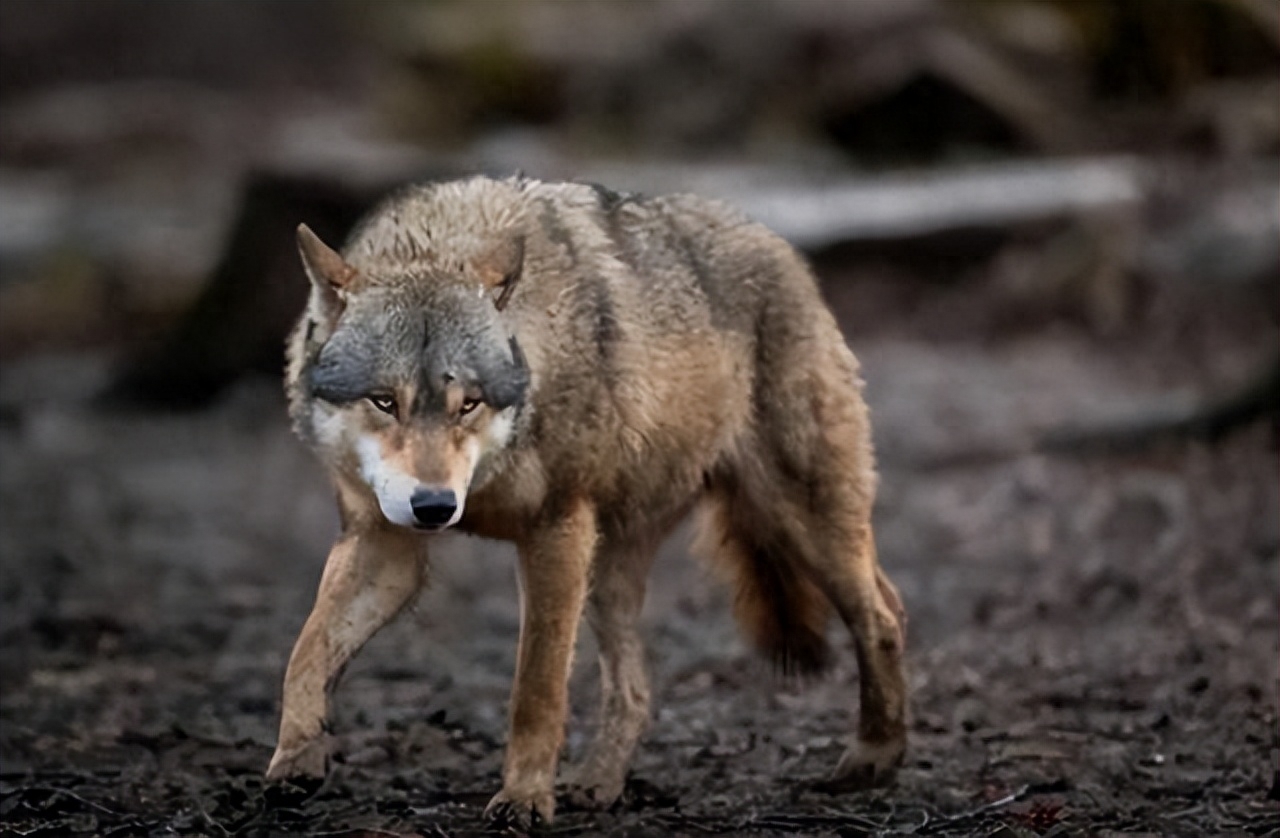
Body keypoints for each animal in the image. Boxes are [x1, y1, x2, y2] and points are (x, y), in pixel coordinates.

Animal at [264, 175, 911, 823]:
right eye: (384, 401)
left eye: (468, 404)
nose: (436, 507)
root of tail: (781, 247)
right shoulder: (385, 544)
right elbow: (305, 654)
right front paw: (295, 758)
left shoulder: (556, 531)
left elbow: (537, 689)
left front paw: (524, 797)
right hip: (610, 572)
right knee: (637, 688)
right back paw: (599, 782)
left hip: (799, 523)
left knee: (884, 613)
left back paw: (875, 756)